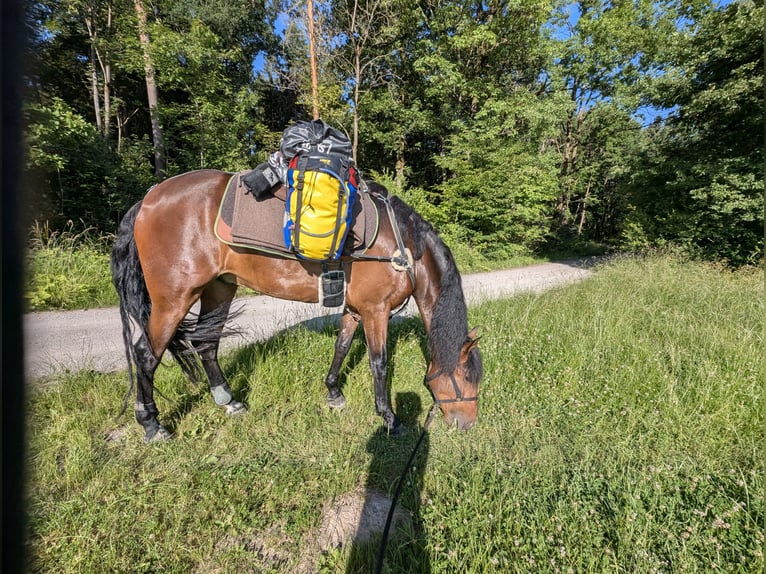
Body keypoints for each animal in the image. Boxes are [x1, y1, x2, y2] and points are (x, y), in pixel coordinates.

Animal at [110, 169, 483, 442]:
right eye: (467, 377)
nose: (467, 425)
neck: (402, 245)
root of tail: (148, 199)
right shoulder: (376, 311)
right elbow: (379, 363)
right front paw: (390, 419)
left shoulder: (355, 309)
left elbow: (341, 347)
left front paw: (333, 393)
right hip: (174, 298)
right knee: (146, 355)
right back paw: (151, 424)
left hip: (219, 289)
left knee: (206, 345)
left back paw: (229, 402)